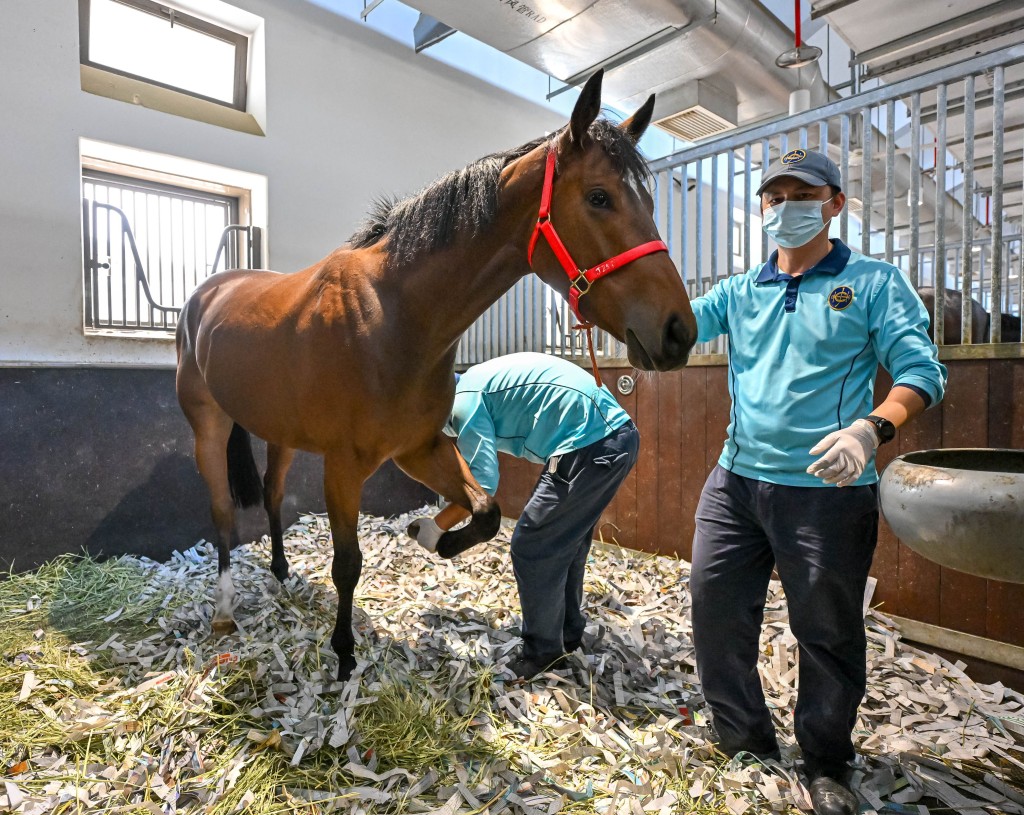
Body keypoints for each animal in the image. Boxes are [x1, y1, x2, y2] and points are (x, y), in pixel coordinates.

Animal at [175, 70, 698, 680]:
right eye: (599, 197)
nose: (678, 331)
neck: (392, 315)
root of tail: (208, 294)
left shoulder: (419, 449)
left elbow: (487, 509)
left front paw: (435, 539)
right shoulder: (345, 466)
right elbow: (347, 562)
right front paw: (344, 653)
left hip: (281, 432)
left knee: (273, 493)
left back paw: (281, 571)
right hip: (207, 427)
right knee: (222, 514)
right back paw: (224, 609)